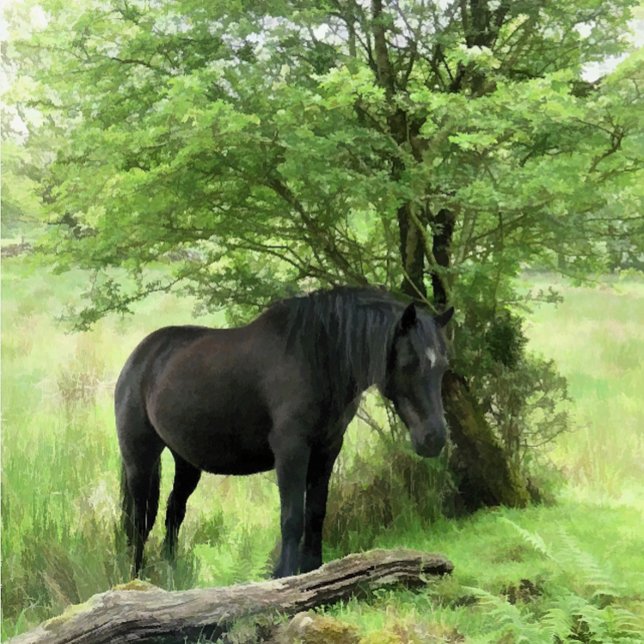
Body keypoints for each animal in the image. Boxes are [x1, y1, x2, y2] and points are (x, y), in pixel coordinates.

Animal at [116, 286, 454, 578]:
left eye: (443, 366)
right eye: (409, 362)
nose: (434, 438)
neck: (317, 358)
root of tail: (138, 358)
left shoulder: (327, 450)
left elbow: (316, 512)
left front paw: (314, 569)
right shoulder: (292, 450)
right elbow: (292, 517)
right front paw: (284, 574)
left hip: (186, 462)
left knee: (173, 513)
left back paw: (171, 576)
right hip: (140, 459)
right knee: (139, 522)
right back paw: (136, 579)